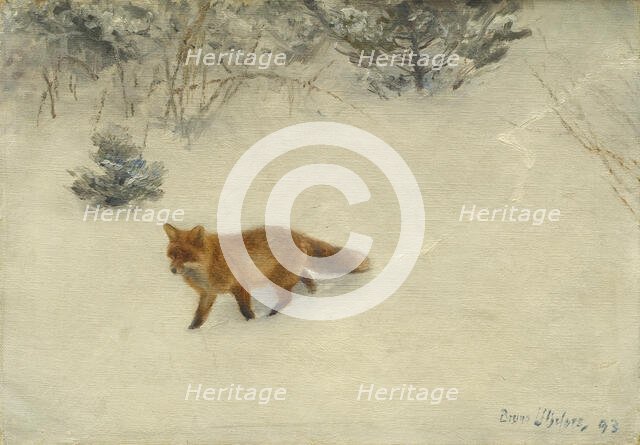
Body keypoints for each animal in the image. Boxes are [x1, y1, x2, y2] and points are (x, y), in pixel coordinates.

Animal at [163, 224, 370, 329]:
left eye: (185, 256)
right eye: (172, 255)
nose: (172, 270)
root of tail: (295, 233)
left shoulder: (239, 286)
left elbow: (245, 311)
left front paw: (251, 325)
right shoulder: (208, 294)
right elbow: (199, 317)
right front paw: (191, 332)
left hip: (277, 279)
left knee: (287, 297)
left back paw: (272, 317)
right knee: (306, 276)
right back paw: (312, 293)